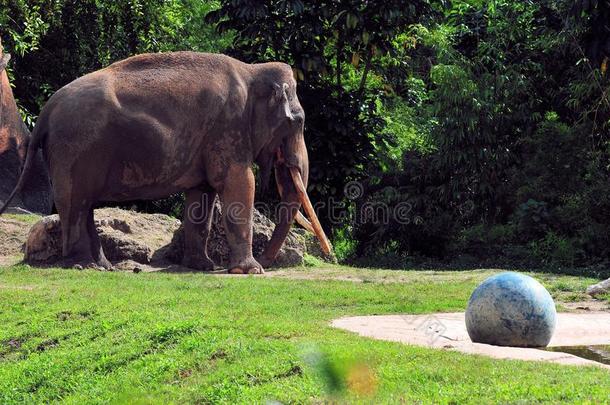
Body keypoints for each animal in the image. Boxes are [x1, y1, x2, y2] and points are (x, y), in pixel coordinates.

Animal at [0, 50, 330, 272]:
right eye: (298, 121)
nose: (265, 261)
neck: (253, 71)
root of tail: (45, 111)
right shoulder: (229, 127)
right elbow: (238, 183)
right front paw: (249, 271)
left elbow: (202, 194)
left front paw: (203, 267)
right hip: (75, 146)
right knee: (77, 203)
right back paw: (84, 266)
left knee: (84, 204)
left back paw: (103, 265)